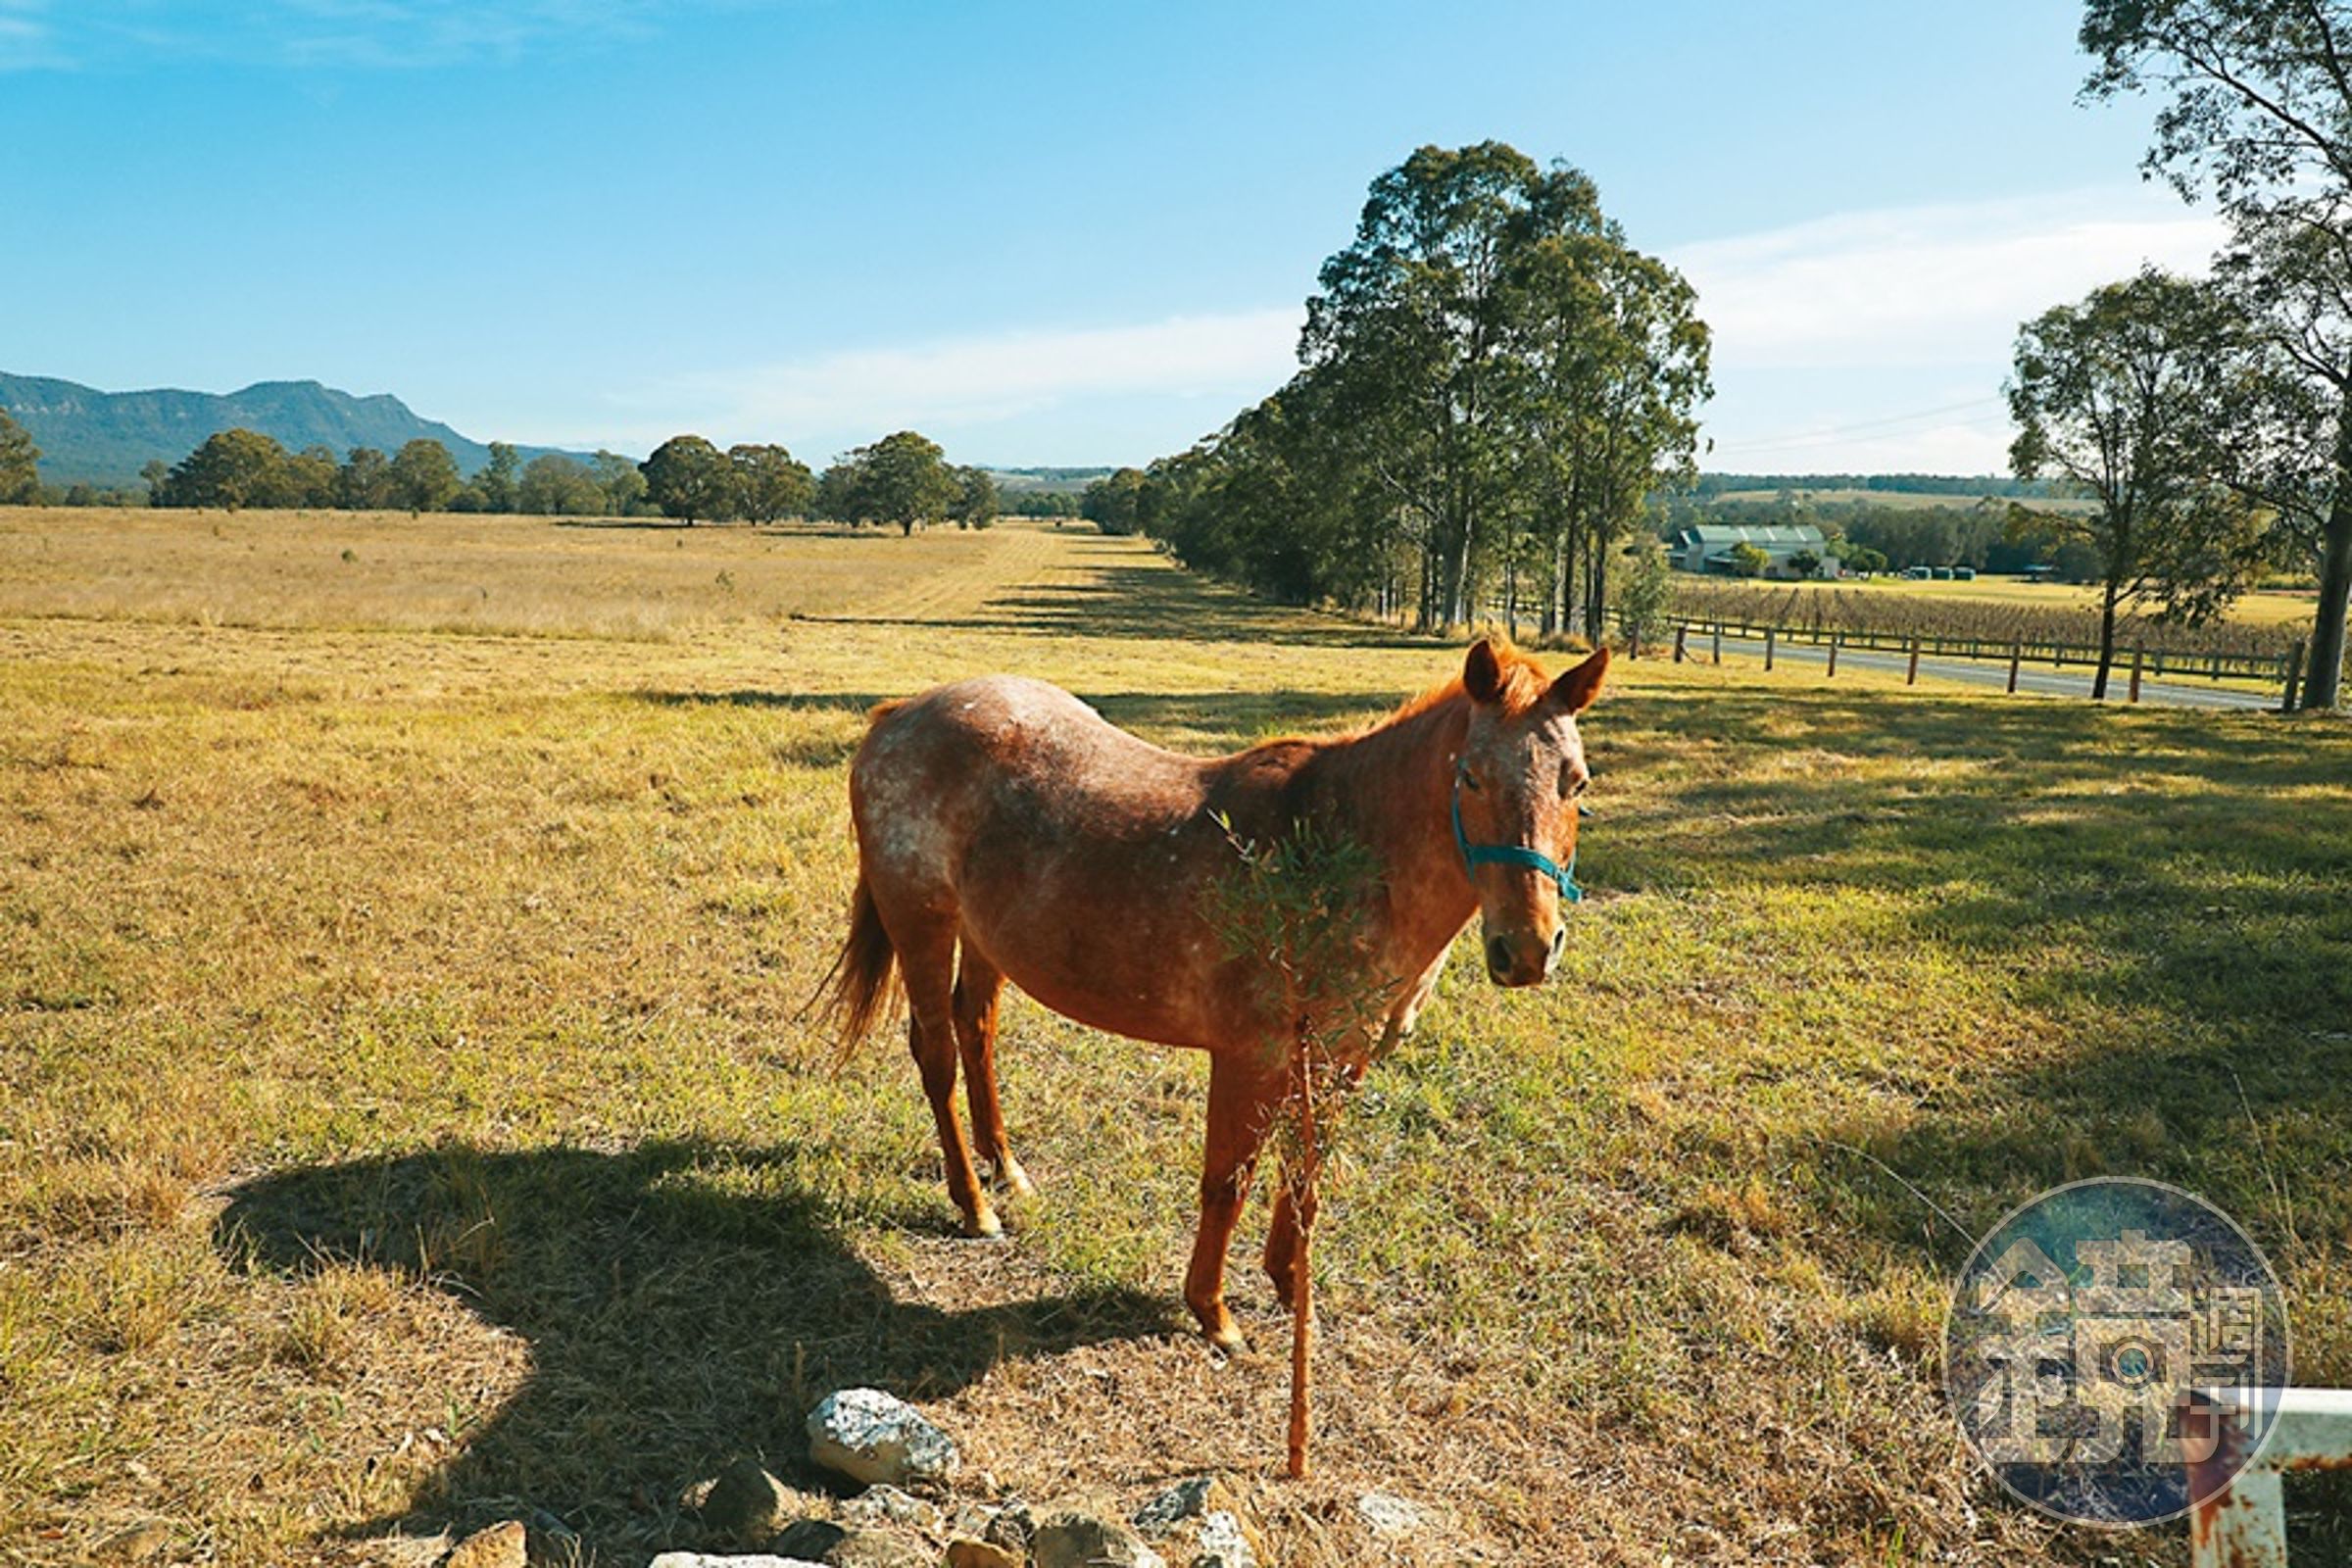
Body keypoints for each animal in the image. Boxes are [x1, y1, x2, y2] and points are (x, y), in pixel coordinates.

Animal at [819, 636, 1606, 1349]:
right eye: (1470, 777)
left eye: (1576, 783)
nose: (1527, 949)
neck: (1331, 851)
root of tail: (900, 713)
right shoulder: (1249, 1056)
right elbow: (1230, 1181)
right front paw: (1214, 1313)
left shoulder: (1340, 1059)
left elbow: (1304, 1172)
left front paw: (1290, 1285)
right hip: (922, 922)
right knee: (938, 1055)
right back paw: (976, 1206)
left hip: (986, 941)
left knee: (976, 1033)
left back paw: (1007, 1169)